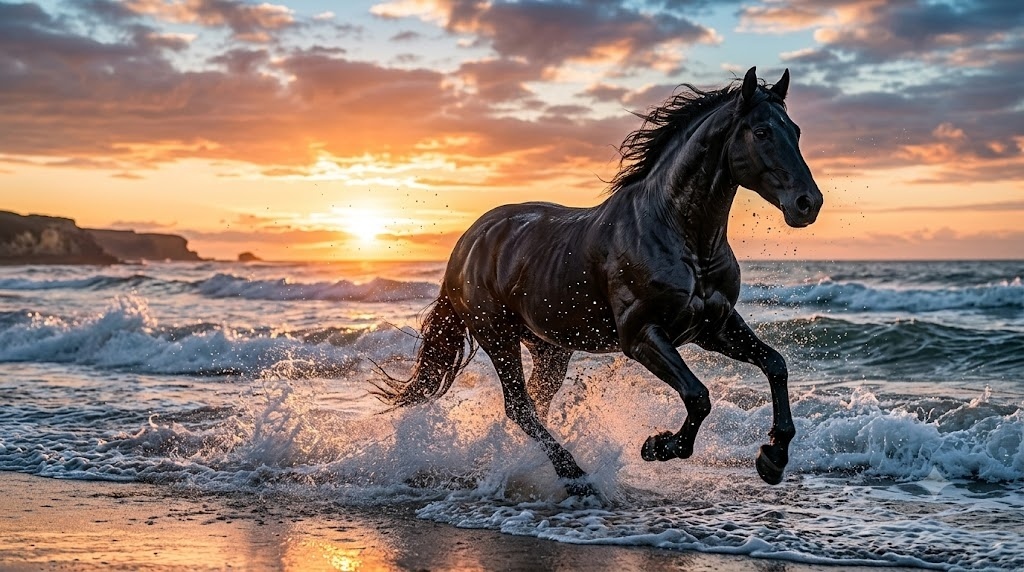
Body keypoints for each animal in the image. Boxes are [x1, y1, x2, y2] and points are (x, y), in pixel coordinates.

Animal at [375, 67, 823, 497]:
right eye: (761, 131)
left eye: (797, 131)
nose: (808, 203)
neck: (678, 233)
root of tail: (466, 244)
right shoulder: (641, 335)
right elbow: (698, 397)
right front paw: (658, 446)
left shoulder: (714, 327)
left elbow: (775, 365)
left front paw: (772, 459)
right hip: (497, 336)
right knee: (520, 406)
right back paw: (575, 476)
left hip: (549, 347)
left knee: (535, 404)